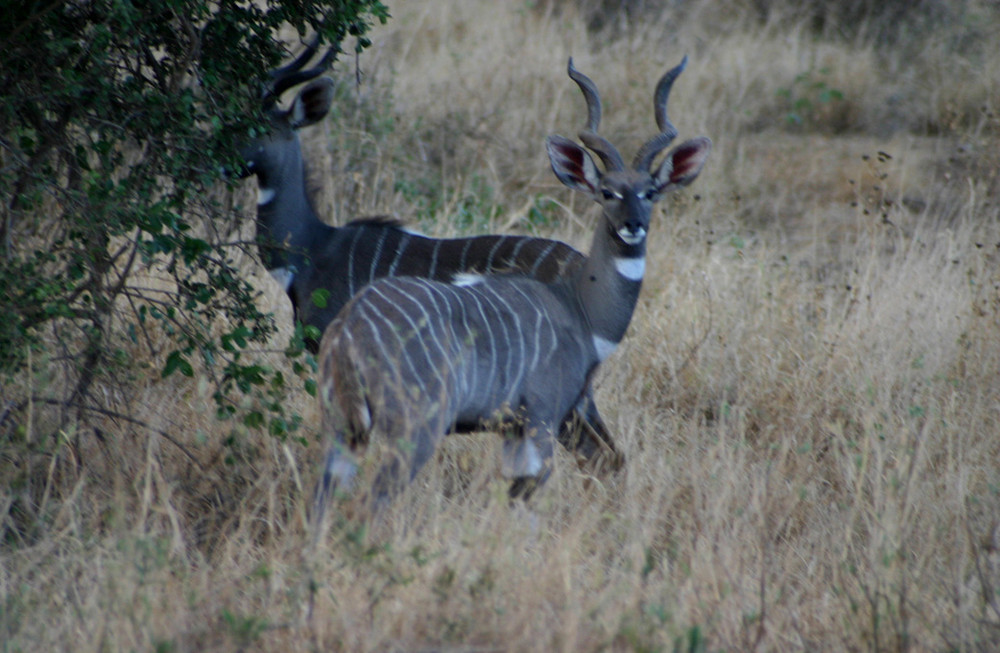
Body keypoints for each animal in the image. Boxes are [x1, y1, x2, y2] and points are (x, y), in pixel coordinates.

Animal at [312, 56, 712, 520]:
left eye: (649, 192)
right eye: (607, 191)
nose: (633, 225)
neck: (579, 309)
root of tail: (347, 333)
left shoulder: (512, 428)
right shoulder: (541, 417)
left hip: (342, 429)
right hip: (416, 426)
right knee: (367, 503)